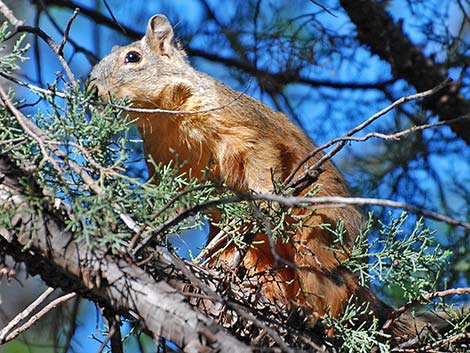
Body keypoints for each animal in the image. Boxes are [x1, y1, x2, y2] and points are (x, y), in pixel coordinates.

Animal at [90, 13, 442, 338]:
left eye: (132, 57)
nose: (92, 90)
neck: (167, 118)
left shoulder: (249, 132)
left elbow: (263, 159)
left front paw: (265, 202)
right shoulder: (167, 165)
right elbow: (170, 198)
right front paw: (150, 224)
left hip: (318, 236)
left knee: (332, 289)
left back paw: (314, 316)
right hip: (257, 260)